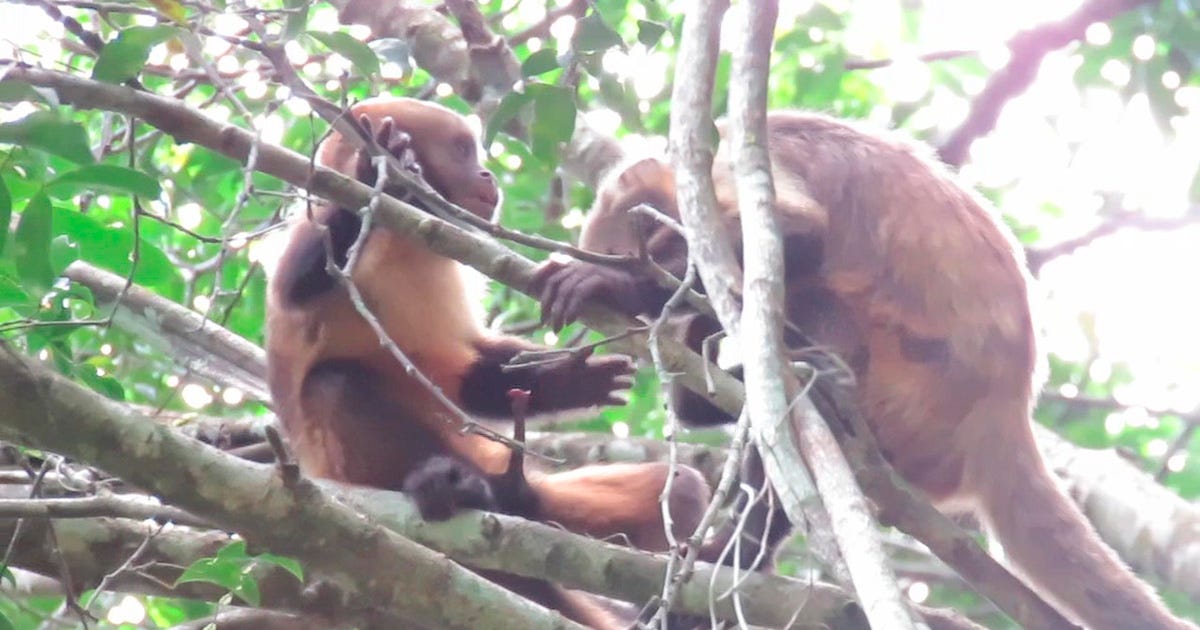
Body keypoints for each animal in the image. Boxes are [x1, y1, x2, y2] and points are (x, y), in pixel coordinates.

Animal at [265, 96, 712, 628]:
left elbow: (466, 375)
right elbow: (295, 288)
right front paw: (379, 173)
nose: (487, 174)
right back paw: (454, 486)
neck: (401, 241)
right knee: (332, 385)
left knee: (680, 489)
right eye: (461, 150)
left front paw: (565, 379)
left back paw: (517, 497)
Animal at [531, 112, 1196, 630]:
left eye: (632, 246)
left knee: (808, 304)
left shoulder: (742, 157)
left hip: (913, 394)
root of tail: (1004, 414)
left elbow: (799, 235)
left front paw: (614, 281)